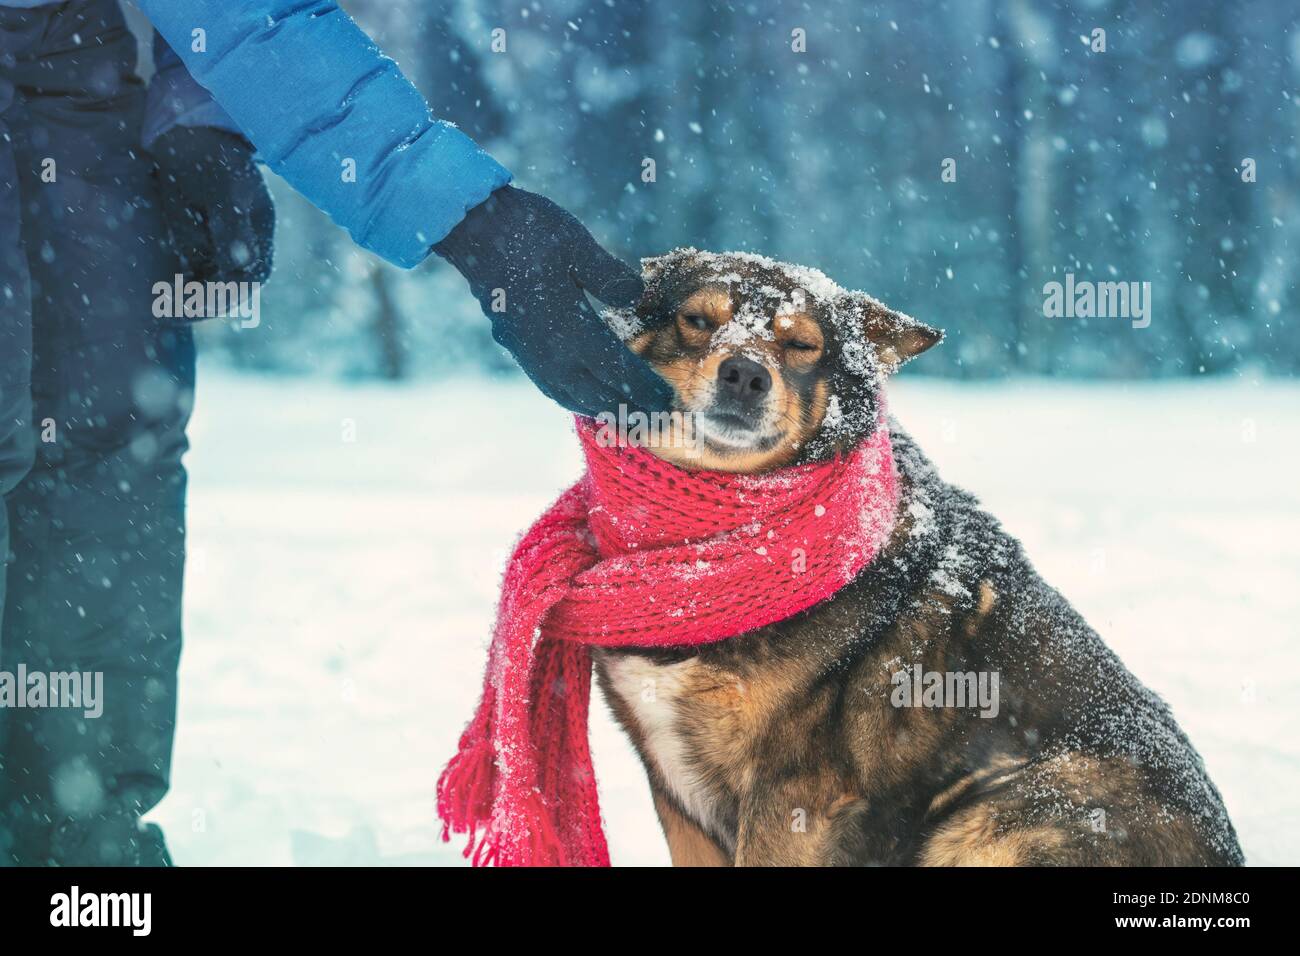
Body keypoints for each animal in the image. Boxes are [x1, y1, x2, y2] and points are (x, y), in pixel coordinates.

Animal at [595, 248, 1242, 868]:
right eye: (697, 320)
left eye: (802, 345)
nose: (745, 375)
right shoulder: (675, 789)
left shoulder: (795, 797)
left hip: (1002, 815)